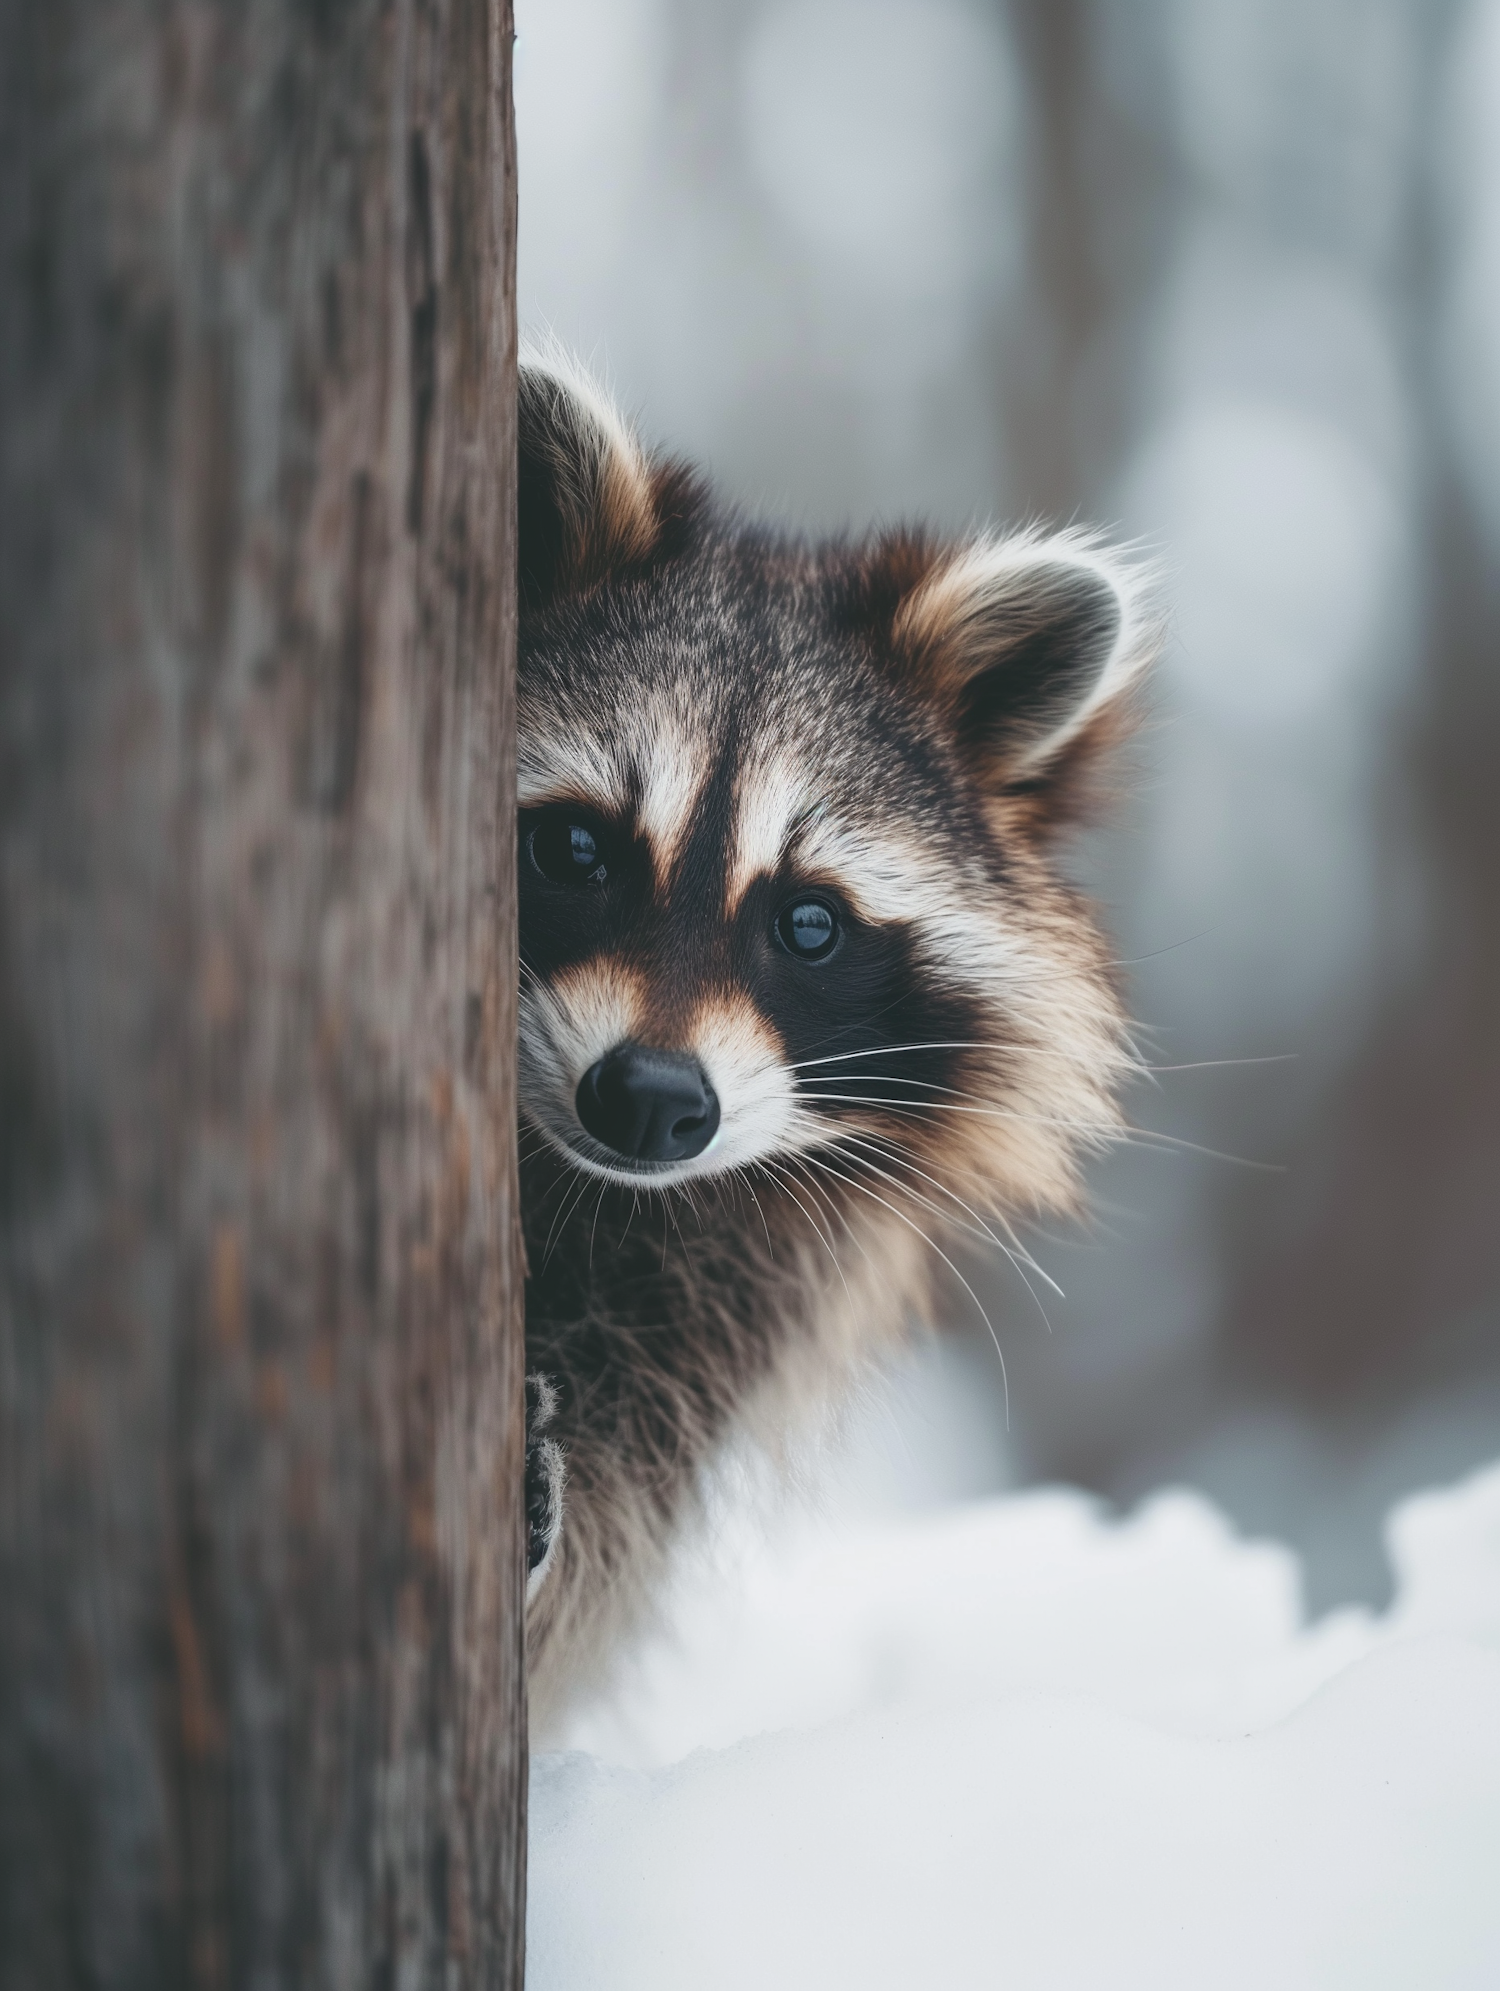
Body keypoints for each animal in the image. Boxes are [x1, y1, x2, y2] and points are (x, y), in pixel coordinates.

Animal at [513, 362, 1147, 1744]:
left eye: (809, 923)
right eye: (578, 848)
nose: (648, 1100)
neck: (595, 1193)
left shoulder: (714, 1301)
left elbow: (600, 1547)